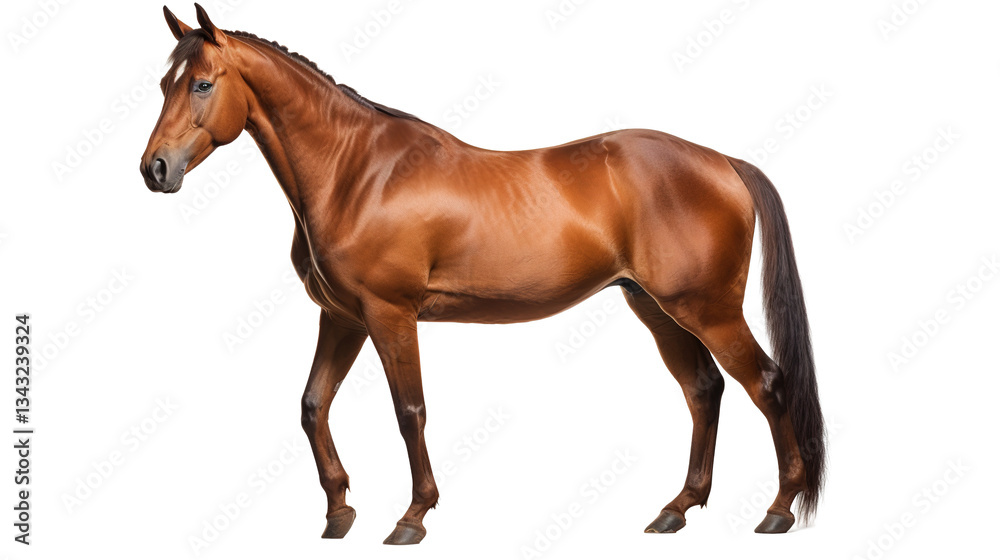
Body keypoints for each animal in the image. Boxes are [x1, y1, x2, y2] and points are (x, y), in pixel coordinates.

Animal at [141, 4, 825, 545]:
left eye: (201, 84)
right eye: (163, 83)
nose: (155, 169)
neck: (356, 172)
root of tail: (723, 162)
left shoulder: (390, 313)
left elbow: (409, 409)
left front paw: (412, 517)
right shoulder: (341, 317)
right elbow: (313, 405)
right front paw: (338, 513)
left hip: (706, 309)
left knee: (766, 383)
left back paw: (777, 511)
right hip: (655, 307)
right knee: (704, 390)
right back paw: (676, 510)